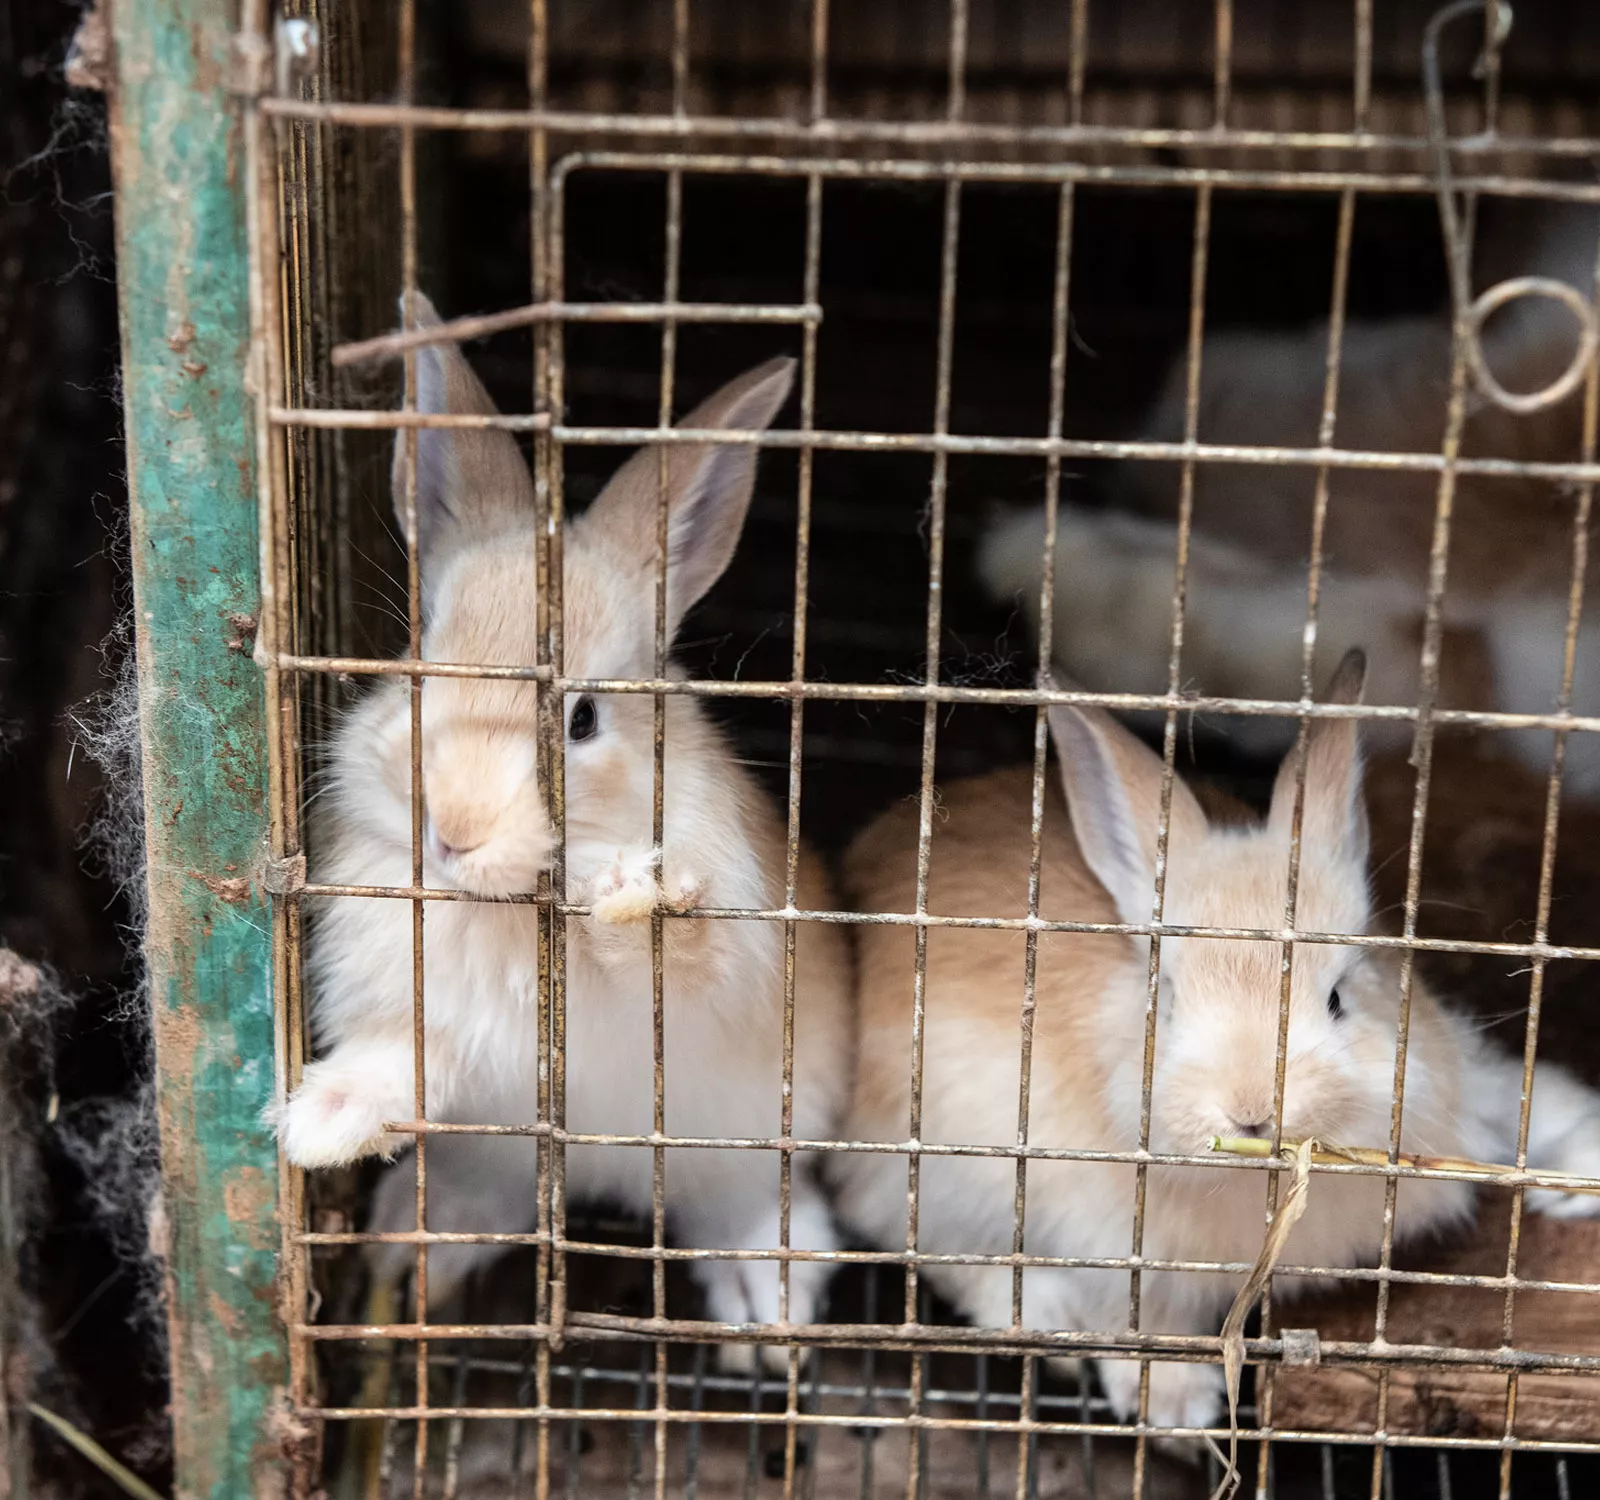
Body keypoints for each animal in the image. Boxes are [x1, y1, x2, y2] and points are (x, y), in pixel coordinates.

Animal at [275, 297, 857, 1362]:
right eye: (416, 659)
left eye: (581, 719)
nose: (452, 828)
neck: (504, 904)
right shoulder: (437, 1032)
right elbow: (395, 1065)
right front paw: (319, 1124)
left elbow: (678, 959)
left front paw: (628, 896)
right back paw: (413, 1258)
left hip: (742, 1141)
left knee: (746, 1206)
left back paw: (770, 1311)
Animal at [832, 646, 1600, 1426]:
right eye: (1168, 999)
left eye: (1338, 997)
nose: (1250, 1110)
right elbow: (1134, 1320)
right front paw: (1180, 1412)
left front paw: (1576, 1183)